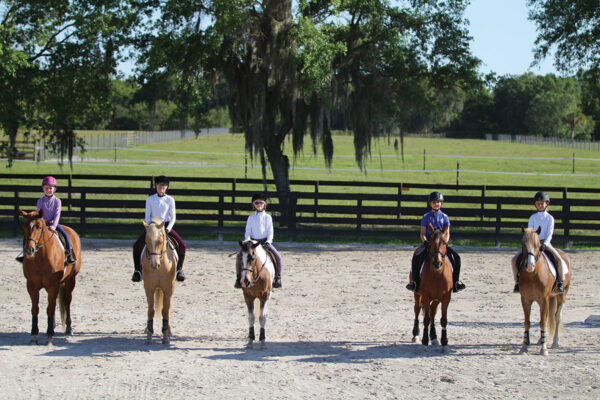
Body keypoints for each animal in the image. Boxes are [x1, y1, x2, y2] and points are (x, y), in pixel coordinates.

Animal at [18, 209, 82, 344]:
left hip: (70, 281)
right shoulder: (31, 286)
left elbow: (50, 309)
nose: (29, 250)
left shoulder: (53, 286)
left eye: (39, 227)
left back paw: (69, 328)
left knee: (67, 301)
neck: (41, 258)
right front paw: (34, 335)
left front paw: (49, 336)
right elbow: (35, 309)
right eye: (25, 226)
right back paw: (52, 325)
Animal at [141, 217, 177, 346]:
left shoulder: (168, 289)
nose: (154, 264)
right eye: (146, 241)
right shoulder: (149, 288)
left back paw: (170, 331)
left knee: (169, 307)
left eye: (160, 241)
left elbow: (165, 310)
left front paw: (165, 336)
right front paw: (149, 334)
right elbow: (150, 310)